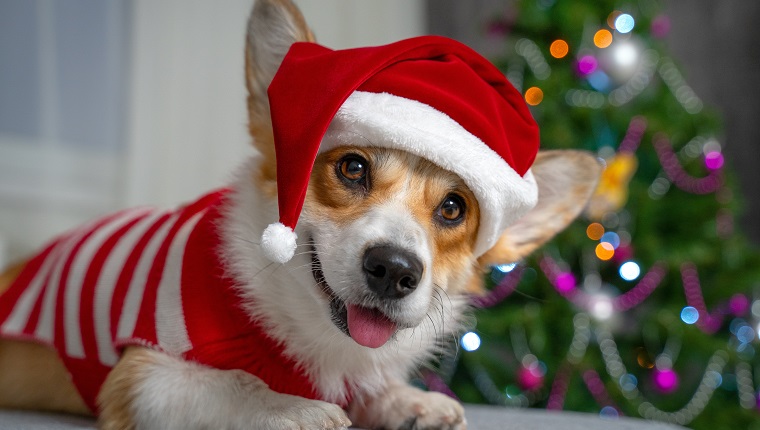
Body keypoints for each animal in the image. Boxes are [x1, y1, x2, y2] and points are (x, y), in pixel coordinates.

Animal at [0, 0, 604, 430]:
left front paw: (409, 401)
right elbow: (234, 384)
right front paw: (291, 407)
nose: (394, 270)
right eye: (353, 167)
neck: (307, 331)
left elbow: (374, 387)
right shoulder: (145, 375)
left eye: (454, 207)